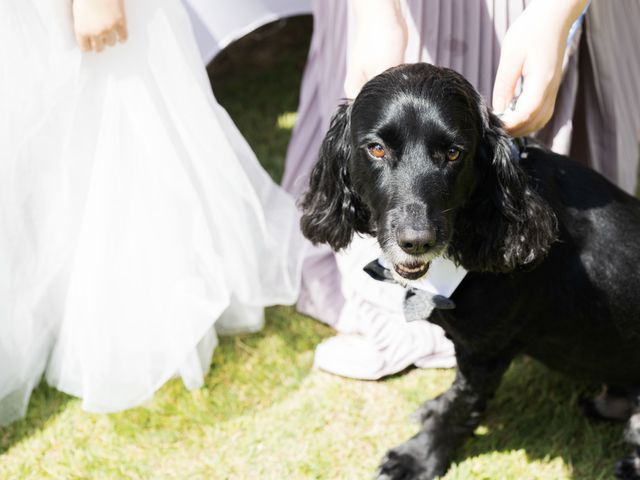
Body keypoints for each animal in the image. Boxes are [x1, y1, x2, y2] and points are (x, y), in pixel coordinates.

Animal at [298, 62, 640, 478]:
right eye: (376, 148)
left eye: (453, 153)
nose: (416, 240)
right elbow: (453, 397)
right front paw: (433, 412)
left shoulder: (486, 351)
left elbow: (461, 407)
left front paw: (418, 457)